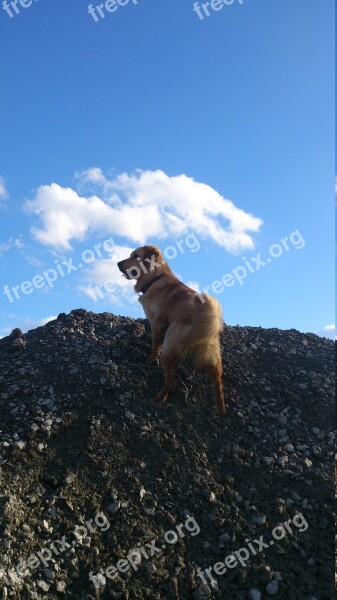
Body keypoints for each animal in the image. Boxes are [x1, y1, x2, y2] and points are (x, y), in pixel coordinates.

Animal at [117, 243, 224, 412]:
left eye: (136, 256)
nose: (118, 264)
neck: (154, 278)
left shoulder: (157, 322)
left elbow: (155, 345)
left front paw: (149, 361)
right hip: (214, 361)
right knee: (218, 385)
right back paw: (221, 412)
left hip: (169, 350)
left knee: (170, 381)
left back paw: (158, 398)